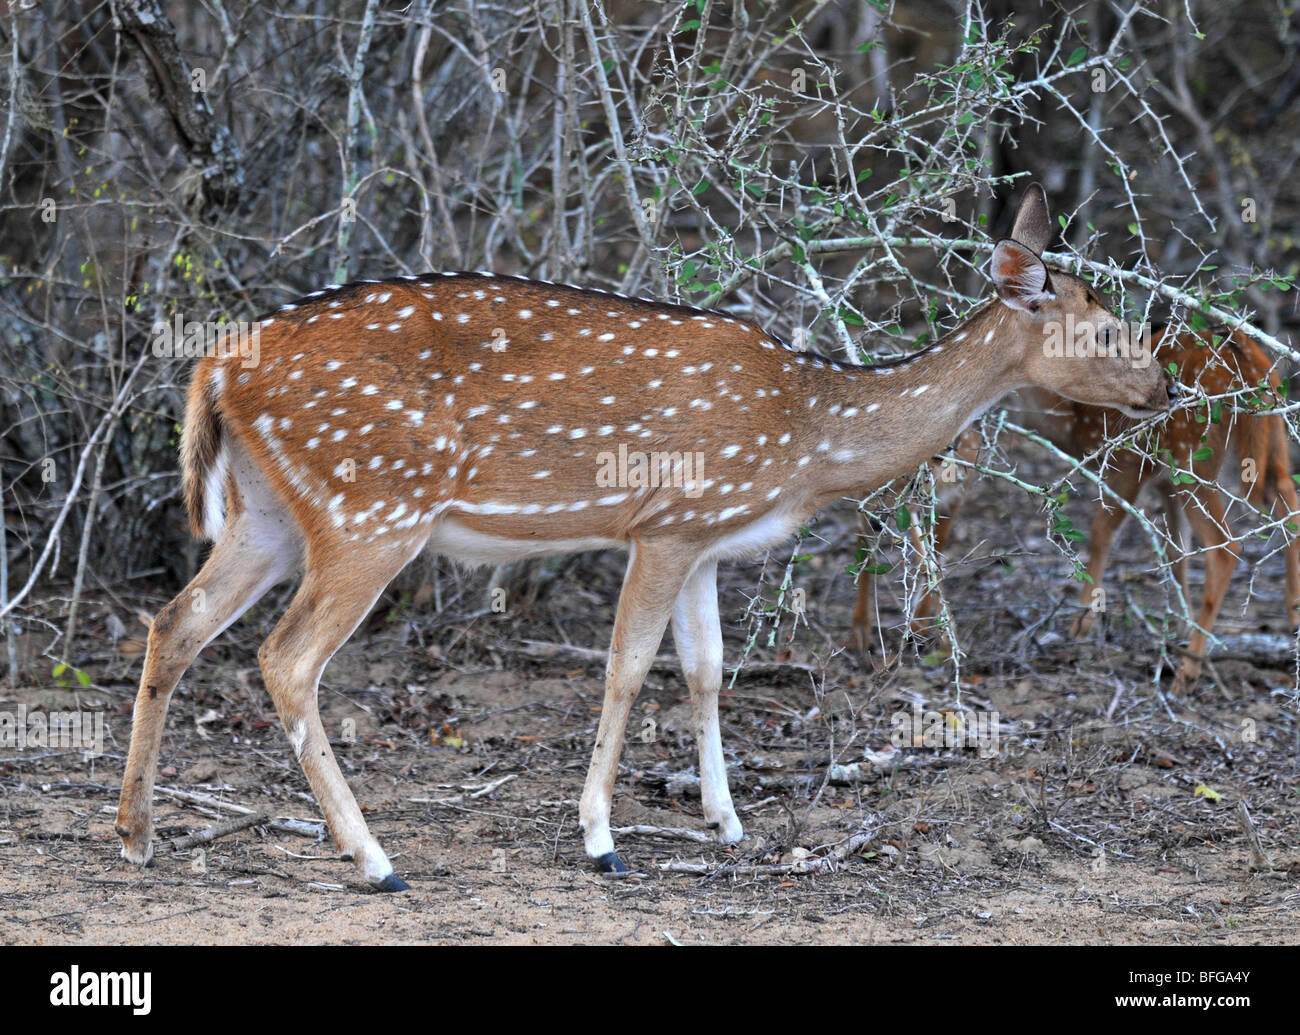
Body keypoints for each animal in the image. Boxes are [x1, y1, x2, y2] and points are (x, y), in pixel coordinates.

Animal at [114, 179, 1170, 889]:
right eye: (1107, 331)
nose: (1160, 387)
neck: (809, 432)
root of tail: (215, 363)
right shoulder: (664, 523)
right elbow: (626, 669)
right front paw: (601, 839)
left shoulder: (705, 539)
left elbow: (706, 671)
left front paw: (727, 821)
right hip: (373, 507)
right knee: (286, 656)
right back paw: (373, 857)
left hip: (271, 513)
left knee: (177, 621)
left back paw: (138, 833)